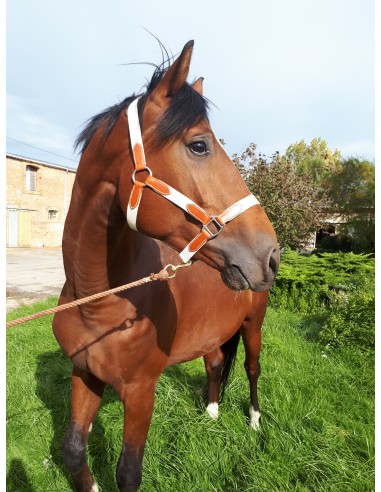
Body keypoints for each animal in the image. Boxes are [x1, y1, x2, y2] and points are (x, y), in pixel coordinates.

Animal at [52, 40, 280, 490]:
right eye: (199, 145)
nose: (272, 255)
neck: (98, 302)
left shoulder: (141, 391)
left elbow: (128, 472)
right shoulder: (83, 373)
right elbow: (73, 451)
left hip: (253, 327)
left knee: (251, 369)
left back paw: (254, 421)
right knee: (214, 363)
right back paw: (211, 413)